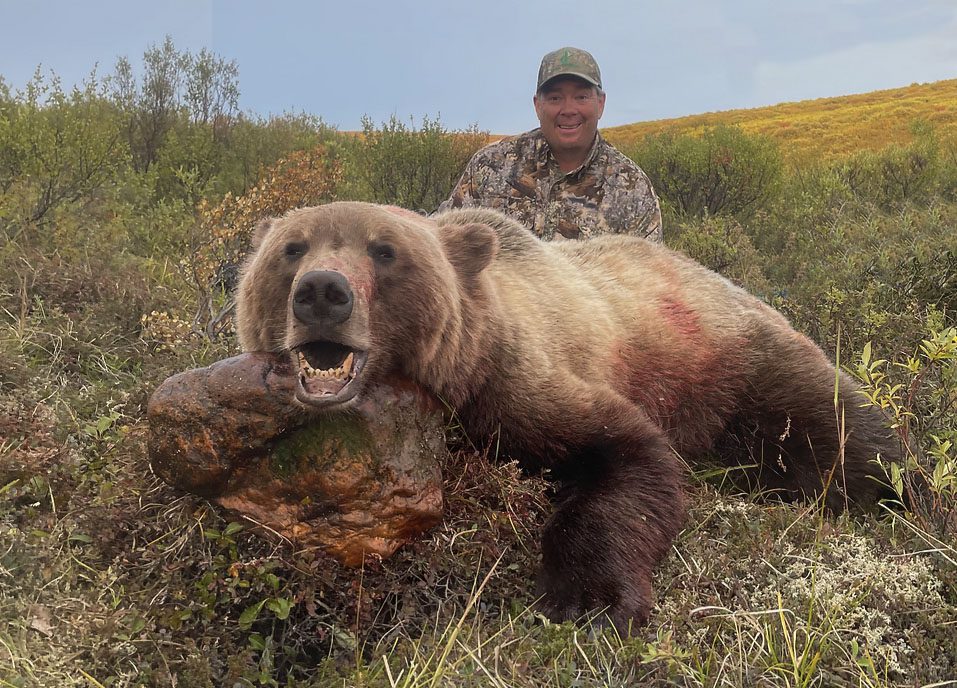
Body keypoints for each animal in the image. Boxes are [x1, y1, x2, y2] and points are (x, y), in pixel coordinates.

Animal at [235, 201, 901, 631]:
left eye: (384, 249)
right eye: (291, 248)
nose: (322, 292)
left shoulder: (513, 381)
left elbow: (628, 453)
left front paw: (590, 600)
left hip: (734, 360)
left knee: (838, 432)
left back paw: (901, 493)